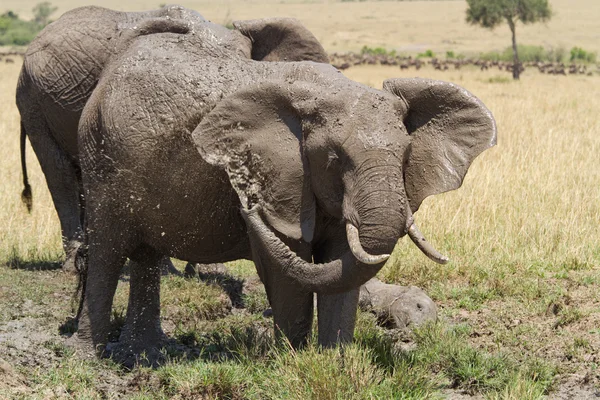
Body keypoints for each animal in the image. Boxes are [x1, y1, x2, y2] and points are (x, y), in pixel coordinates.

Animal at [72, 15, 496, 366]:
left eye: (406, 154)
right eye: (333, 157)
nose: (244, 201)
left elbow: (342, 263)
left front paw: (336, 363)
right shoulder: (283, 181)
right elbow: (288, 267)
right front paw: (294, 361)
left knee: (146, 254)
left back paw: (145, 352)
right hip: (97, 154)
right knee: (108, 252)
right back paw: (89, 358)